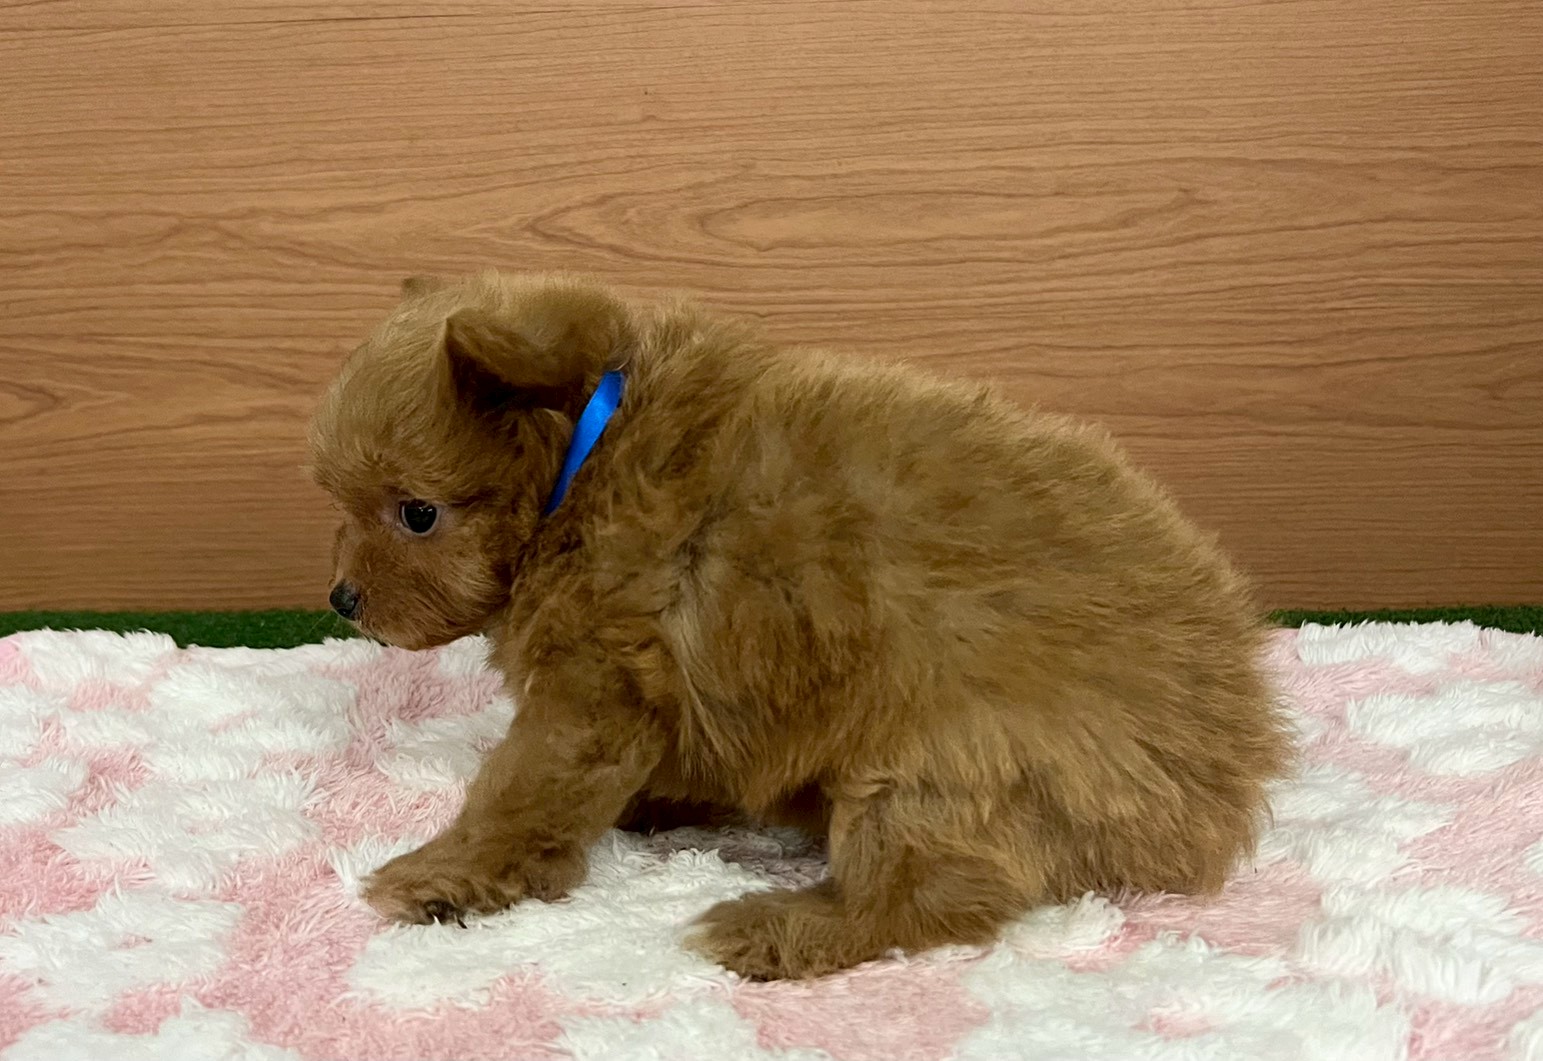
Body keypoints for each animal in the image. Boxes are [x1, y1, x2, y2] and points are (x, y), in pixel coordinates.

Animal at [307, 271, 1290, 980]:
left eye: (418, 514)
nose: (343, 598)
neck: (585, 462)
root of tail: (1220, 779)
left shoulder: (593, 687)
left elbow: (519, 792)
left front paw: (442, 875)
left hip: (942, 763)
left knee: (928, 897)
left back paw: (776, 928)